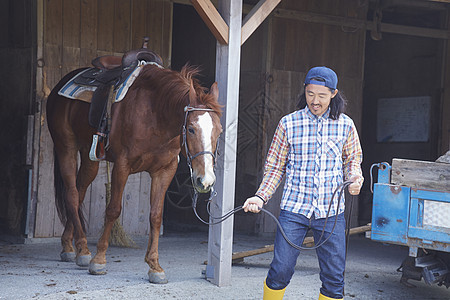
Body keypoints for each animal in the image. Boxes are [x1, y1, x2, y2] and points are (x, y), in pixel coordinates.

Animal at [46, 63, 222, 284]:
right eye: (190, 129)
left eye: (220, 131)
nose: (205, 180)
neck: (156, 114)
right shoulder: (123, 165)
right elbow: (113, 210)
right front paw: (99, 260)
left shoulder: (165, 171)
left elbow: (156, 216)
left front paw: (155, 266)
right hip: (66, 147)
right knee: (71, 194)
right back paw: (84, 250)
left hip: (89, 156)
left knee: (79, 193)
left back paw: (70, 246)